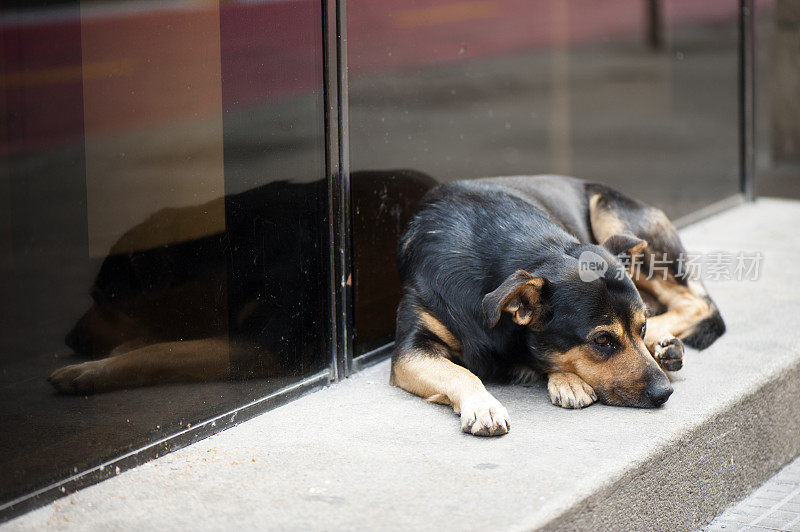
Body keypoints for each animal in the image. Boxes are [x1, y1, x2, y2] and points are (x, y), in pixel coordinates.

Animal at [390, 175, 728, 436]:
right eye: (602, 340)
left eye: (640, 327)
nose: (665, 393)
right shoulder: (409, 352)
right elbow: (460, 373)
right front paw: (484, 405)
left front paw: (565, 378)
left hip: (611, 215)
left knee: (697, 303)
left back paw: (665, 348)